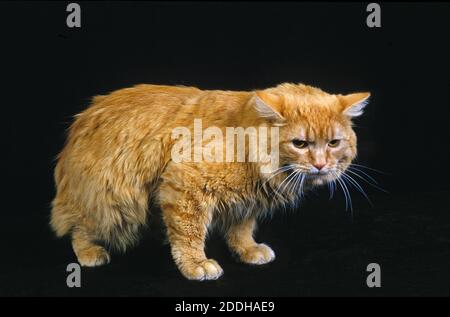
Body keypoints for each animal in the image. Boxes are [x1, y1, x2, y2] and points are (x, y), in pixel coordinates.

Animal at [51, 83, 370, 278]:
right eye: (300, 144)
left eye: (333, 143)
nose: (320, 164)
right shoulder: (185, 185)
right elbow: (189, 235)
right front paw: (196, 264)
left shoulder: (246, 202)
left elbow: (241, 230)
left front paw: (248, 250)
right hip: (113, 205)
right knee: (77, 228)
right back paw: (90, 252)